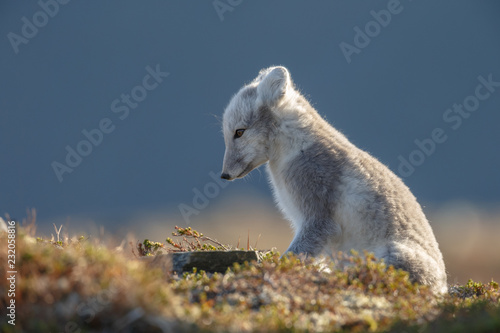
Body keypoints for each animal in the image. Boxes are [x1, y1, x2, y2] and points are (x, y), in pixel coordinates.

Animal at [221, 65, 448, 294]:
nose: (224, 175)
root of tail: (444, 288)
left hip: (393, 255)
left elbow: (294, 255)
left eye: (239, 132)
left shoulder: (318, 218)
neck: (295, 146)